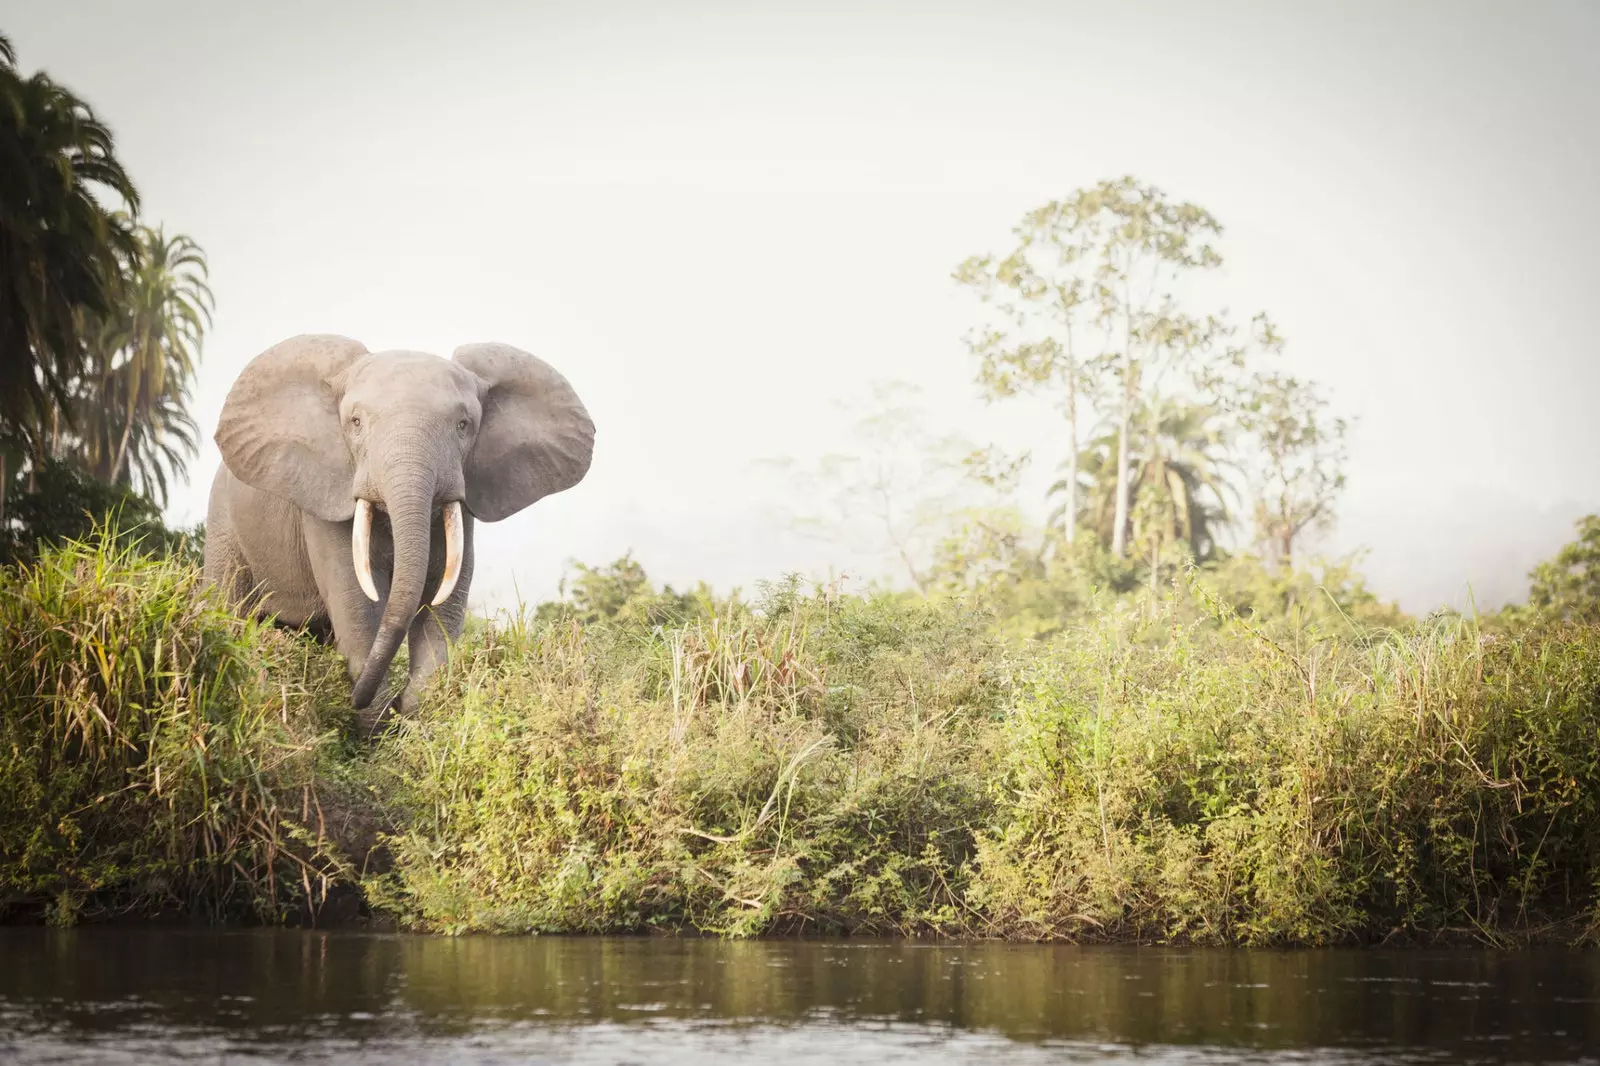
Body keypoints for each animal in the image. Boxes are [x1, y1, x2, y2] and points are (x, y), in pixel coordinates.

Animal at [203, 336, 595, 726]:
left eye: (463, 425)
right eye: (355, 422)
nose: (358, 700)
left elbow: (443, 605)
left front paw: (416, 720)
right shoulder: (330, 504)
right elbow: (356, 606)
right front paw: (382, 725)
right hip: (223, 524)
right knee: (230, 607)